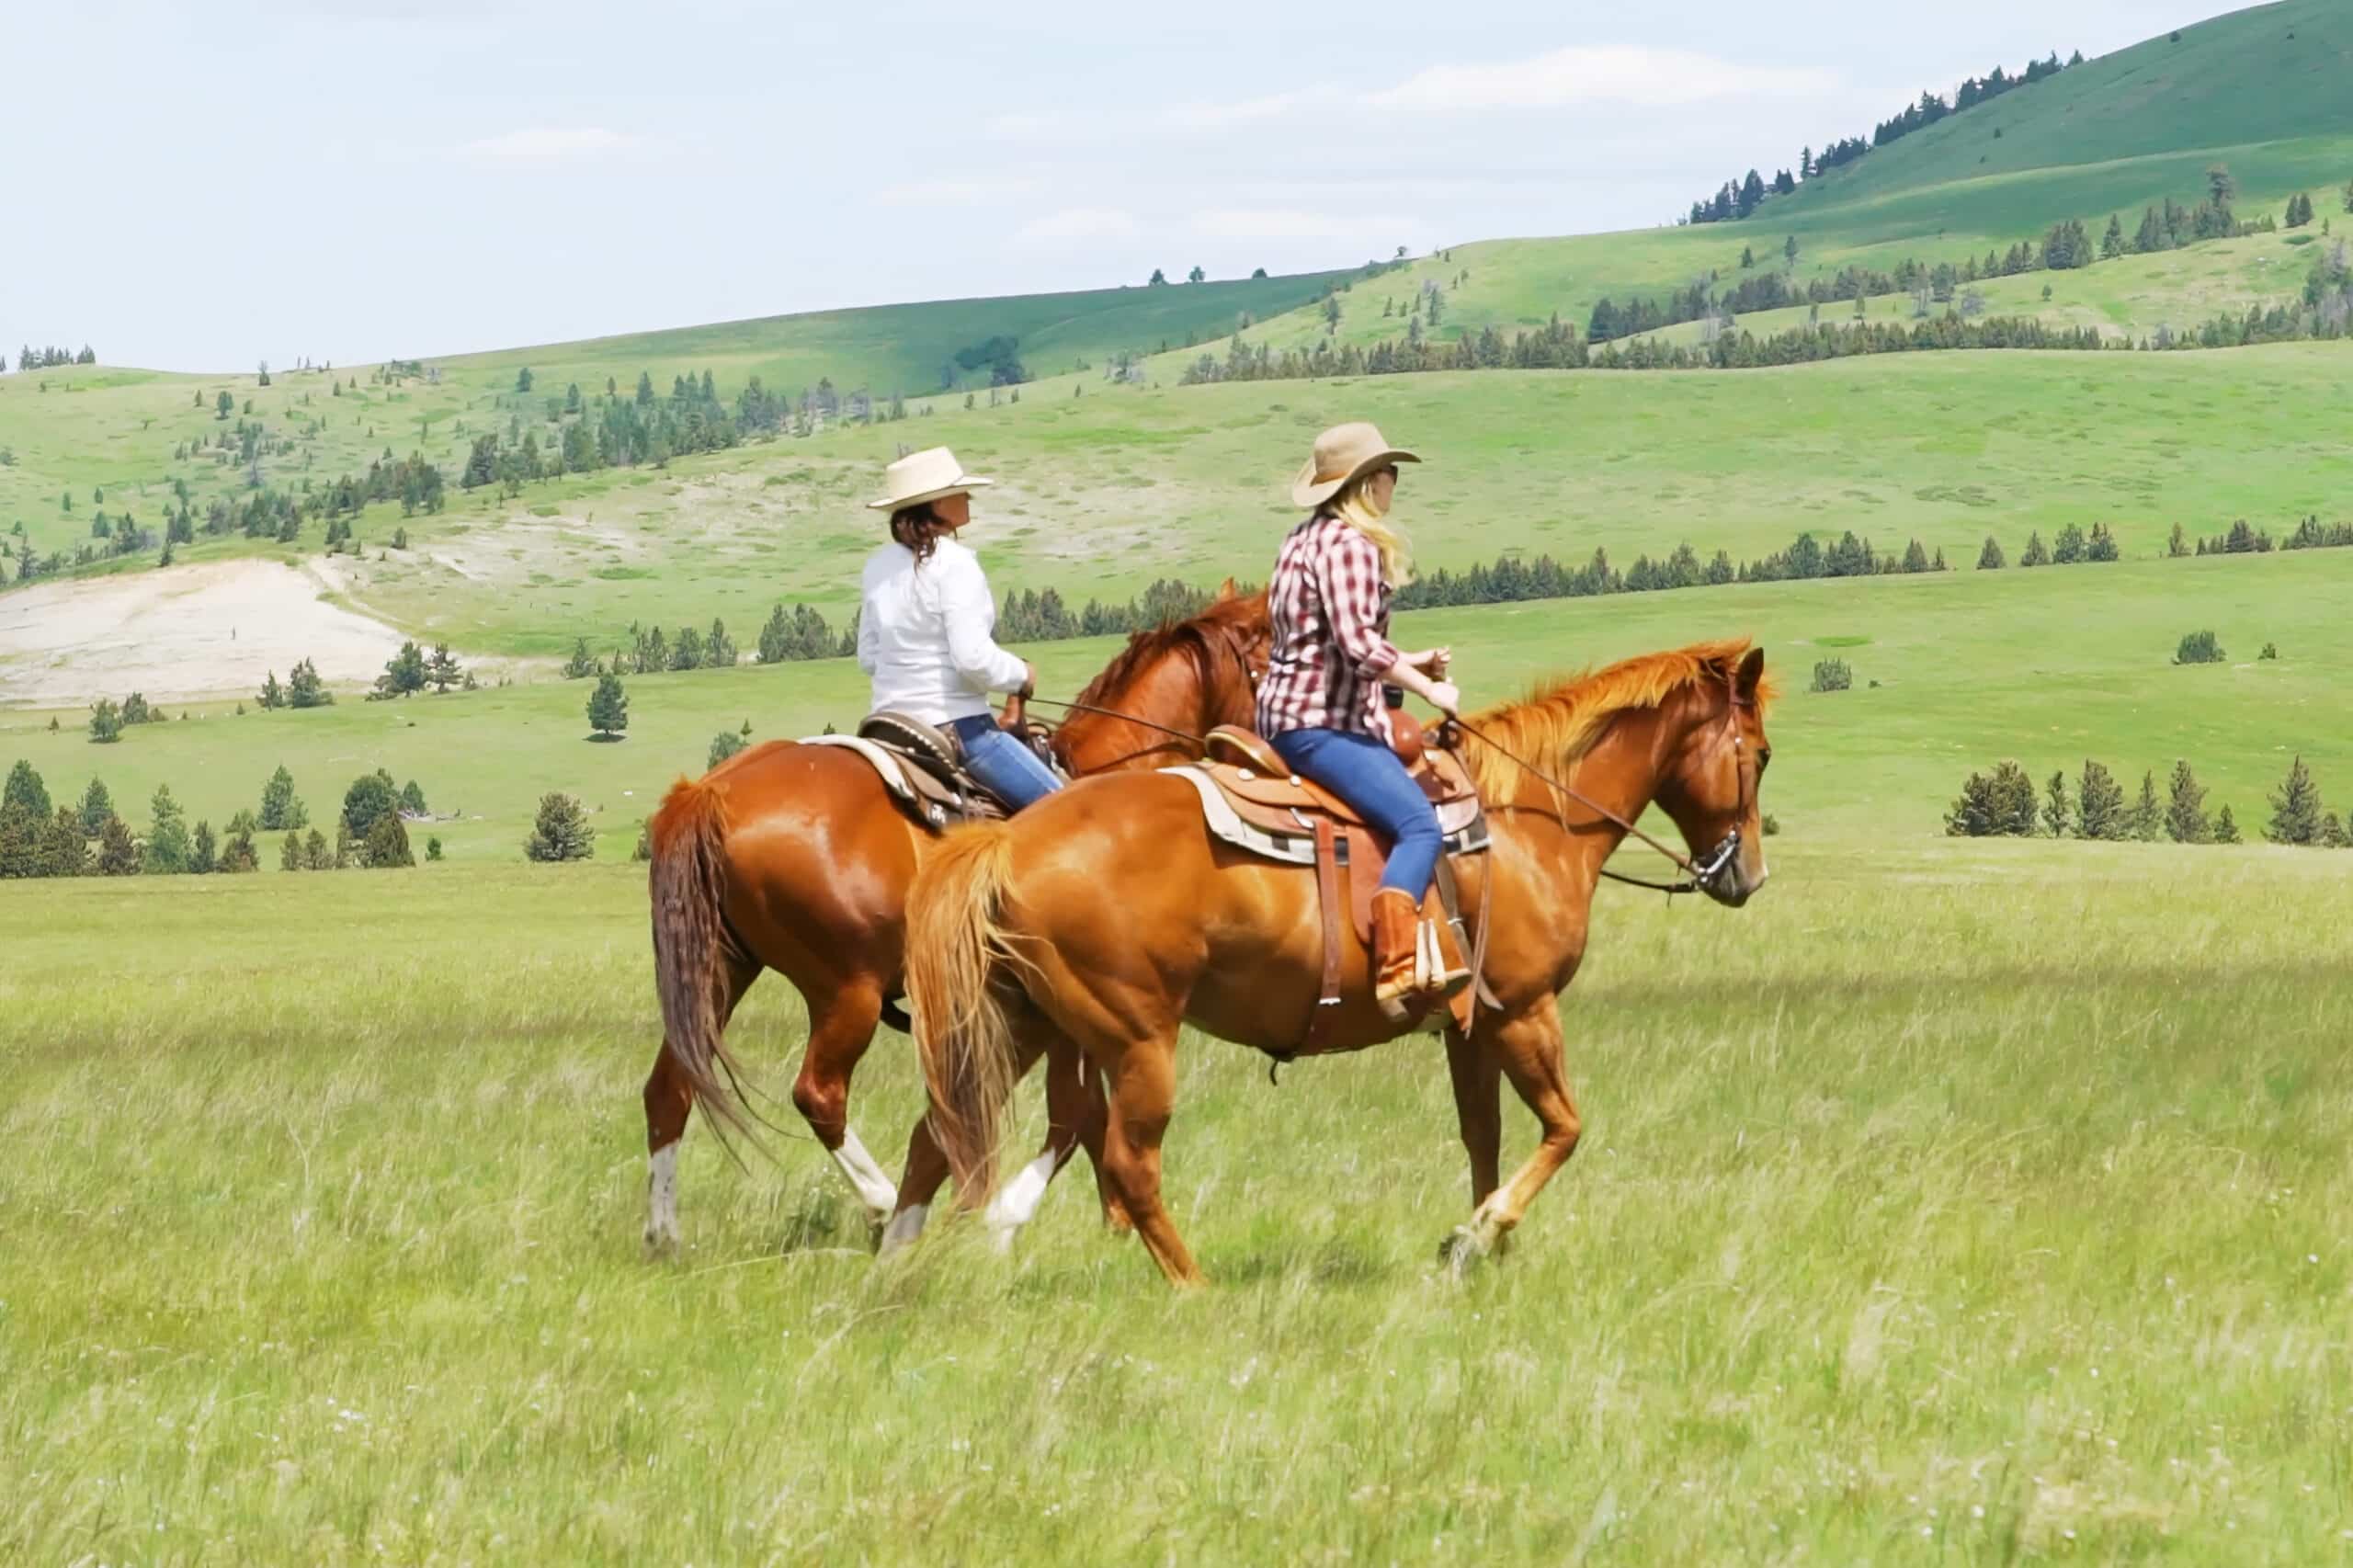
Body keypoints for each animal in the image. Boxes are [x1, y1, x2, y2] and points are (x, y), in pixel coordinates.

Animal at [639, 587, 1269, 1254]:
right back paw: (881, 1204)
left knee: (670, 1087)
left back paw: (662, 1234)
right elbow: (1076, 1120)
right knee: (818, 1095)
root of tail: (712, 792)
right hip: (847, 992)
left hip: (721, 970)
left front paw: (1115, 1221)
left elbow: (1087, 1120)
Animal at [901, 639, 1773, 1285]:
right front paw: (1484, 1232)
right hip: (1135, 1041)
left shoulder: (1468, 1026)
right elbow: (1564, 1128)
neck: (1527, 821)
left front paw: (1484, 1249)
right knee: (1126, 1163)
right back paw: (1192, 1285)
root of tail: (1009, 840)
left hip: (1021, 1025)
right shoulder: (1524, 1011)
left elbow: (1484, 1136)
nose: (1747, 876)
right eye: (1760, 753)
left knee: (941, 1134)